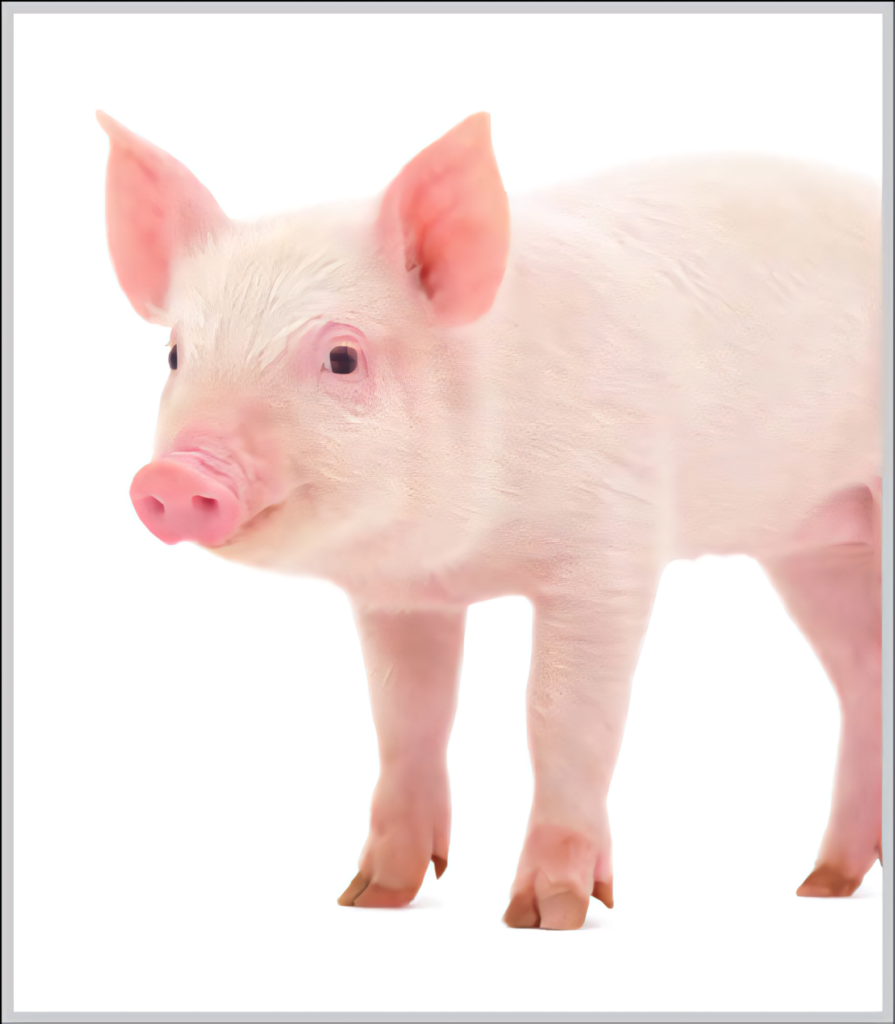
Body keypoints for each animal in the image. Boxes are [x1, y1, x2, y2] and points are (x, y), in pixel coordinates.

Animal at [97, 108, 883, 931]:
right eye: (176, 355)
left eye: (342, 357)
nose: (175, 475)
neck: (463, 558)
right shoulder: (397, 595)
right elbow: (407, 718)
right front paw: (370, 898)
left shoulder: (614, 543)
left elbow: (560, 716)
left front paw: (547, 914)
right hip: (814, 547)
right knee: (864, 675)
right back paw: (821, 885)